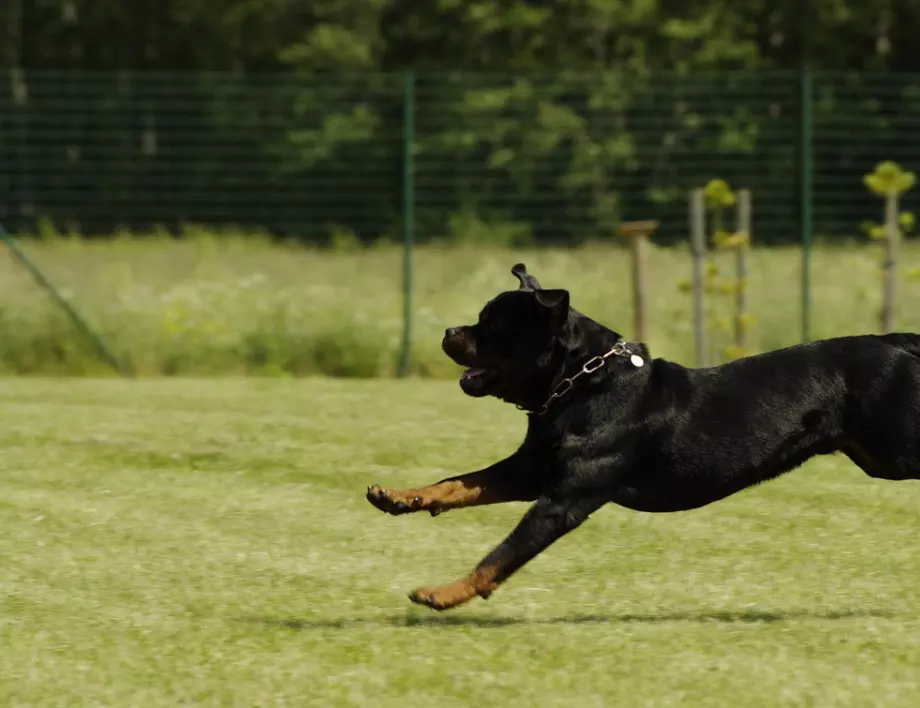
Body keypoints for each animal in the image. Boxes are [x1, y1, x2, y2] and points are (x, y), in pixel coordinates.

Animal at [364, 262, 920, 612]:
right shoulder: (530, 470)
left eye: (491, 324)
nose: (447, 333)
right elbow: (458, 482)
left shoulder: (562, 500)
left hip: (896, 450)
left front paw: (443, 593)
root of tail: (896, 342)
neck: (582, 384)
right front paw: (399, 496)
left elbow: (500, 555)